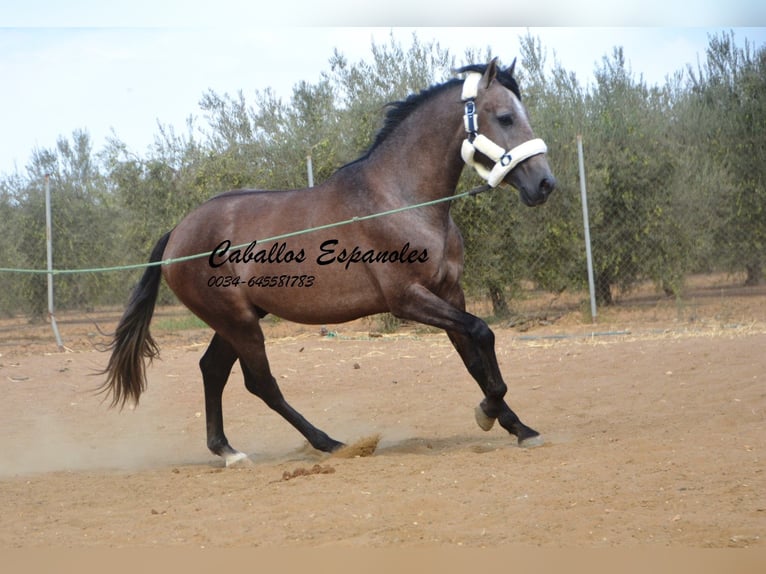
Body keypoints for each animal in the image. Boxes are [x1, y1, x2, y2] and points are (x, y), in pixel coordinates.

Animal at [102, 57, 560, 468]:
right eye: (504, 117)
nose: (544, 184)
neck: (401, 200)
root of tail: (178, 233)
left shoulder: (450, 293)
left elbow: (474, 357)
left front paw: (519, 428)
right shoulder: (408, 299)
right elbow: (483, 333)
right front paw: (487, 412)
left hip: (238, 319)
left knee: (212, 370)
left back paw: (229, 451)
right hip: (238, 322)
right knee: (260, 383)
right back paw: (331, 443)